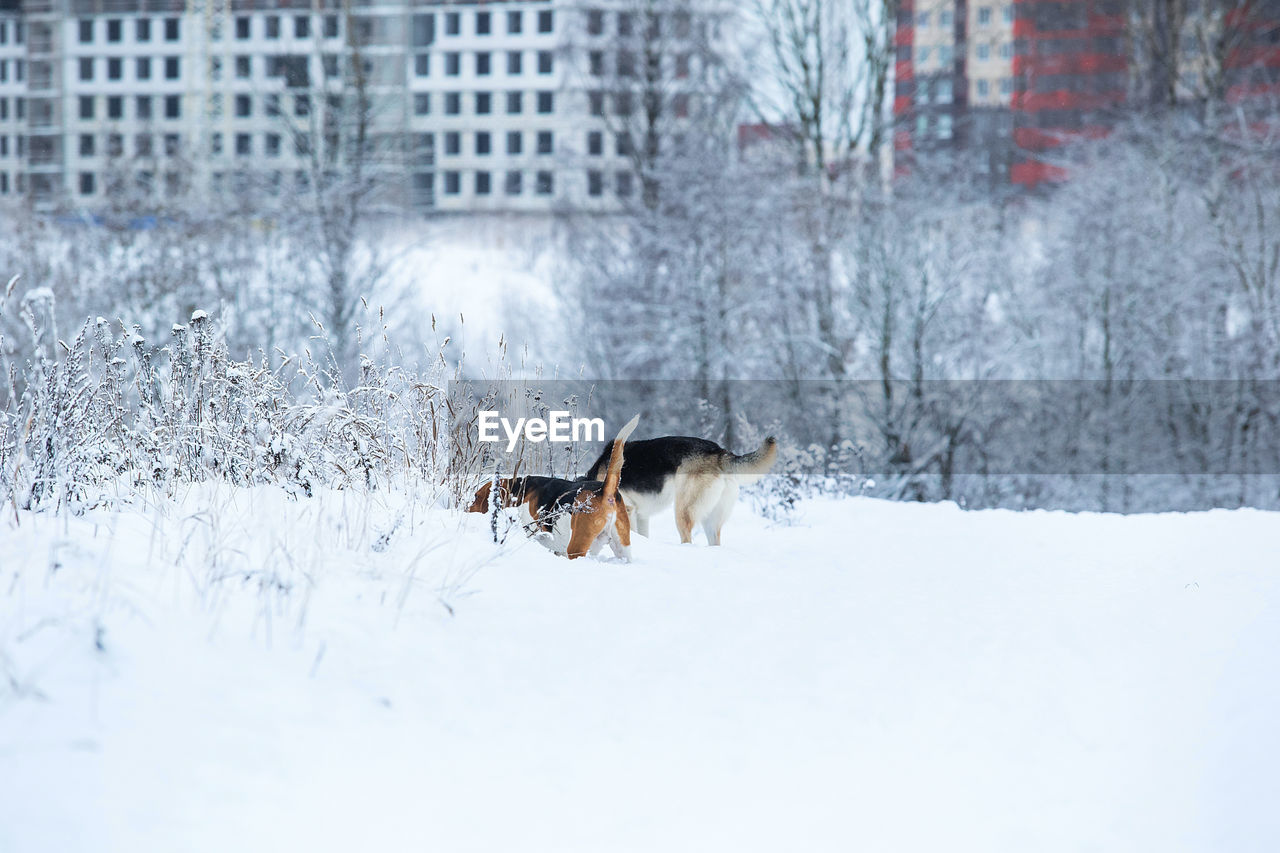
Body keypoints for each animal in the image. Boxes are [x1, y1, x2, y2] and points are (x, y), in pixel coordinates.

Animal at [465, 412, 640, 558]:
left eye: (476, 497)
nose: (466, 510)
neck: (520, 490)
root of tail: (605, 490)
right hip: (623, 549)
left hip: (577, 547)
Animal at [586, 432, 773, 545]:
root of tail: (719, 452)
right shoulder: (641, 516)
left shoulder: (628, 510)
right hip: (710, 520)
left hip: (683, 511)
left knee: (687, 538)